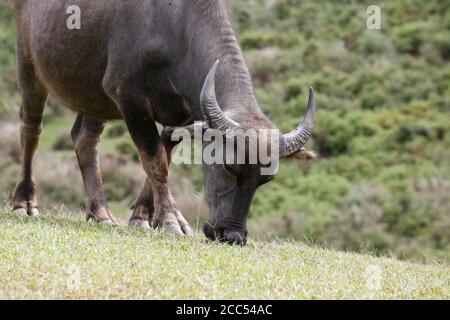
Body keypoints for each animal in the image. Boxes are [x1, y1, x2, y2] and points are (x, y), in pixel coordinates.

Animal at [9, 0, 312, 245]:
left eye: (265, 179)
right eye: (229, 166)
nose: (233, 235)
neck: (173, 27)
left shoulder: (182, 116)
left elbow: (163, 157)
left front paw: (142, 217)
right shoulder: (130, 100)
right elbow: (154, 161)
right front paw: (170, 221)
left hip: (95, 96)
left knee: (84, 139)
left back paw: (101, 213)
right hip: (29, 65)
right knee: (31, 129)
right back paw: (24, 203)